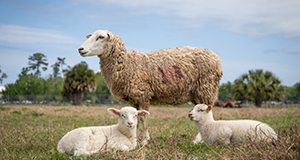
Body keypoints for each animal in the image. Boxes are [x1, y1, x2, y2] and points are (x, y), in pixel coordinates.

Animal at [77, 29, 223, 144]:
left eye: (101, 37)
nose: (80, 49)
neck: (126, 64)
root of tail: (217, 58)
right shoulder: (134, 99)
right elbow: (136, 118)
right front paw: (136, 138)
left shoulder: (143, 95)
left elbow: (143, 118)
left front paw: (145, 140)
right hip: (196, 94)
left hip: (206, 88)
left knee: (206, 111)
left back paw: (198, 140)